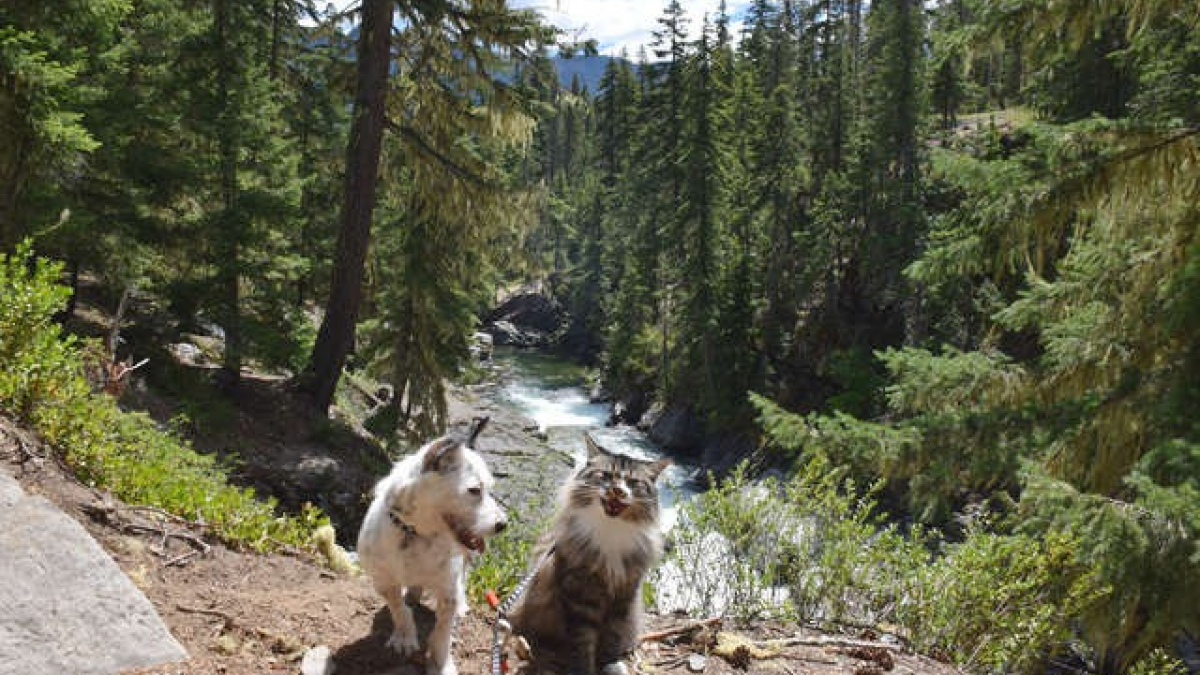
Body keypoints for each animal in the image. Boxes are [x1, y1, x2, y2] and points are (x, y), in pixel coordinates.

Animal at [355, 415, 506, 672]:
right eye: (474, 490)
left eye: (489, 489)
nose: (503, 524)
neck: (415, 533)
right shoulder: (384, 581)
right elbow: (399, 609)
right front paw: (405, 637)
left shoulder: (447, 591)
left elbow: (442, 632)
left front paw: (442, 664)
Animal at [506, 429, 672, 672]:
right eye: (606, 475)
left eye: (633, 482)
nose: (617, 490)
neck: (611, 529)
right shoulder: (579, 596)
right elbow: (582, 642)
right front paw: (583, 668)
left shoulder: (624, 594)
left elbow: (612, 636)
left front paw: (611, 665)